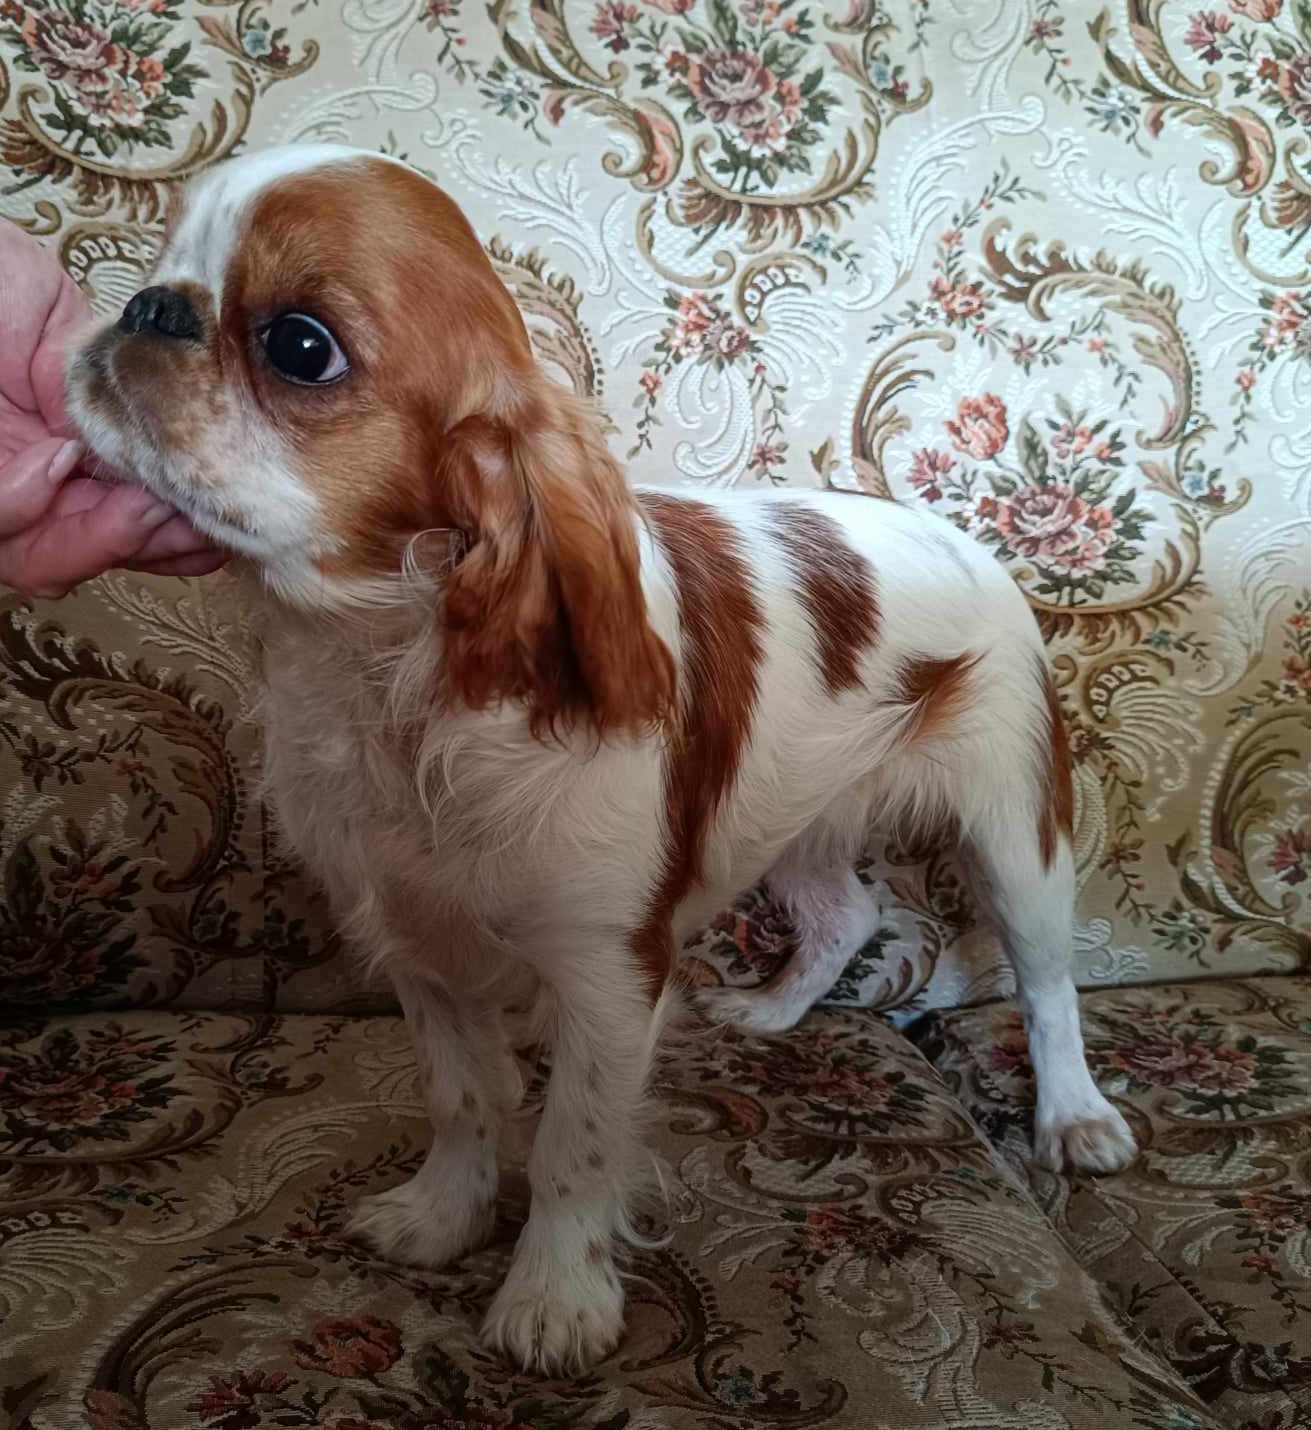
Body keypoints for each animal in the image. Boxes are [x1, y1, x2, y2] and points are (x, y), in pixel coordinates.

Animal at [67, 143, 1137, 1376]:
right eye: (162, 261)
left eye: (299, 345)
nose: (146, 306)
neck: (390, 663)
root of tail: (961, 530)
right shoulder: (423, 950)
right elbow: (463, 1100)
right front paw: (441, 1218)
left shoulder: (608, 972)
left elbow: (573, 1144)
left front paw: (554, 1298)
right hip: (789, 812)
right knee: (847, 914)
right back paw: (775, 1014)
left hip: (1014, 825)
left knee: (1046, 981)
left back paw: (1076, 1119)